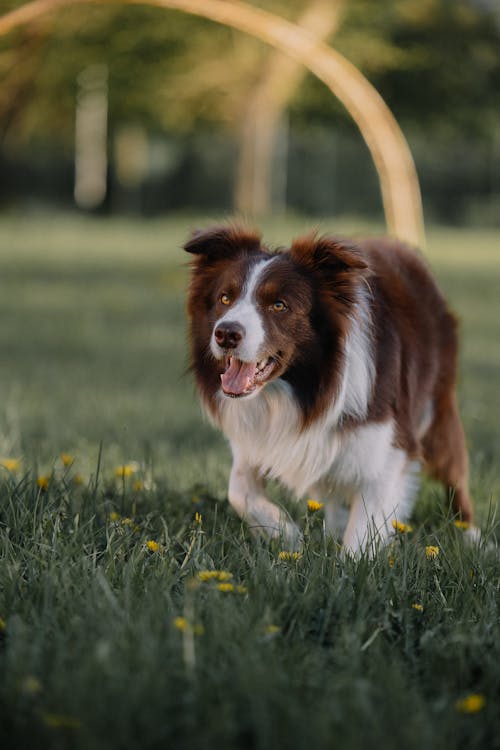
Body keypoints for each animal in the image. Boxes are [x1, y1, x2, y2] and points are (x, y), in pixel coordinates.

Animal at [183, 223, 472, 552]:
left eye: (279, 305)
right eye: (225, 298)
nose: (226, 334)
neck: (300, 388)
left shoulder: (389, 445)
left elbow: (363, 530)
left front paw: (347, 560)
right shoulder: (255, 435)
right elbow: (239, 491)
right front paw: (290, 538)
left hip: (436, 404)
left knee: (454, 472)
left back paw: (474, 538)